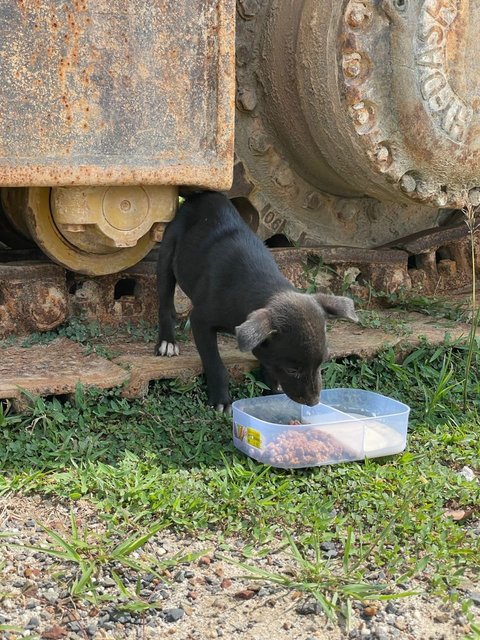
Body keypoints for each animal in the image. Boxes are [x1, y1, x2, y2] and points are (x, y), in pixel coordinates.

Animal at [156, 191, 358, 410]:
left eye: (322, 363)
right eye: (291, 370)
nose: (313, 403)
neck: (265, 287)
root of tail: (203, 195)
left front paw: (272, 388)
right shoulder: (201, 319)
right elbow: (214, 362)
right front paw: (221, 400)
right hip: (167, 253)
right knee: (165, 303)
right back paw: (167, 341)